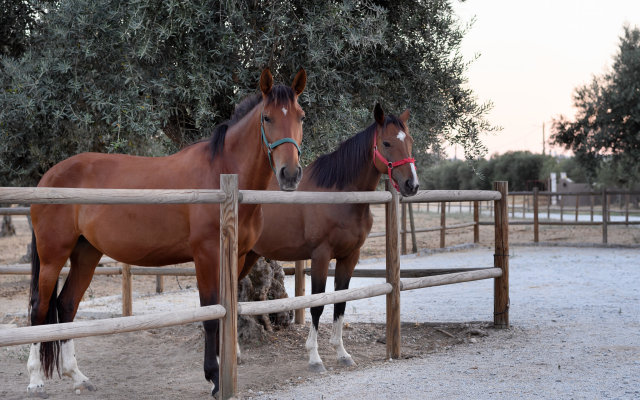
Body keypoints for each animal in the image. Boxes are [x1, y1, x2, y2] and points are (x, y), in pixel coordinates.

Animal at [29, 67, 308, 396]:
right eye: (267, 117)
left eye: (301, 116)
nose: (290, 174)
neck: (222, 175)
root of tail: (47, 177)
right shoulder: (206, 256)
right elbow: (210, 313)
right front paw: (214, 377)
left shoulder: (237, 257)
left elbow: (229, 310)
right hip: (53, 257)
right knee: (39, 308)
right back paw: (35, 380)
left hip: (86, 253)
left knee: (67, 306)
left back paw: (77, 376)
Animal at [242, 103, 418, 372]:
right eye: (387, 143)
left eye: (409, 141)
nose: (412, 184)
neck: (339, 195)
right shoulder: (321, 257)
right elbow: (317, 305)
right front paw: (315, 358)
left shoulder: (350, 257)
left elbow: (340, 302)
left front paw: (342, 353)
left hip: (249, 256)